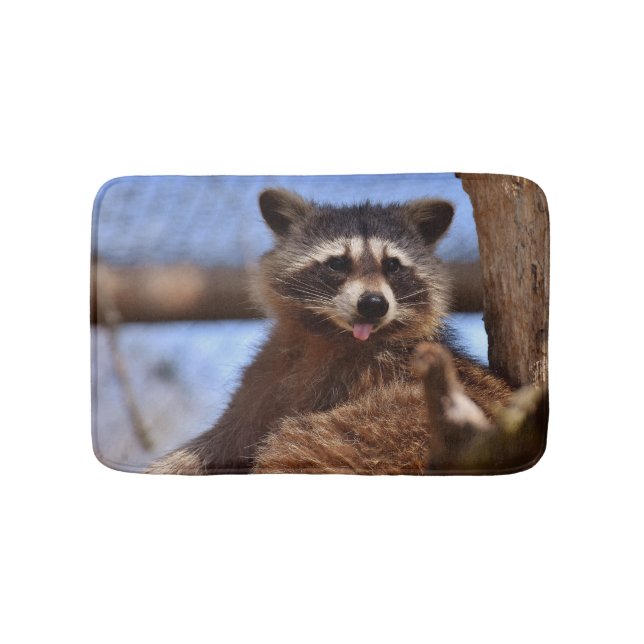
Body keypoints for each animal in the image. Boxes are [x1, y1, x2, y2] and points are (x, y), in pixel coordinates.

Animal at [147, 188, 512, 475]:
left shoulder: (383, 377)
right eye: (338, 263)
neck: (334, 335)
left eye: (392, 265)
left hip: (395, 426)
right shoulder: (271, 370)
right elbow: (225, 438)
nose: (374, 304)